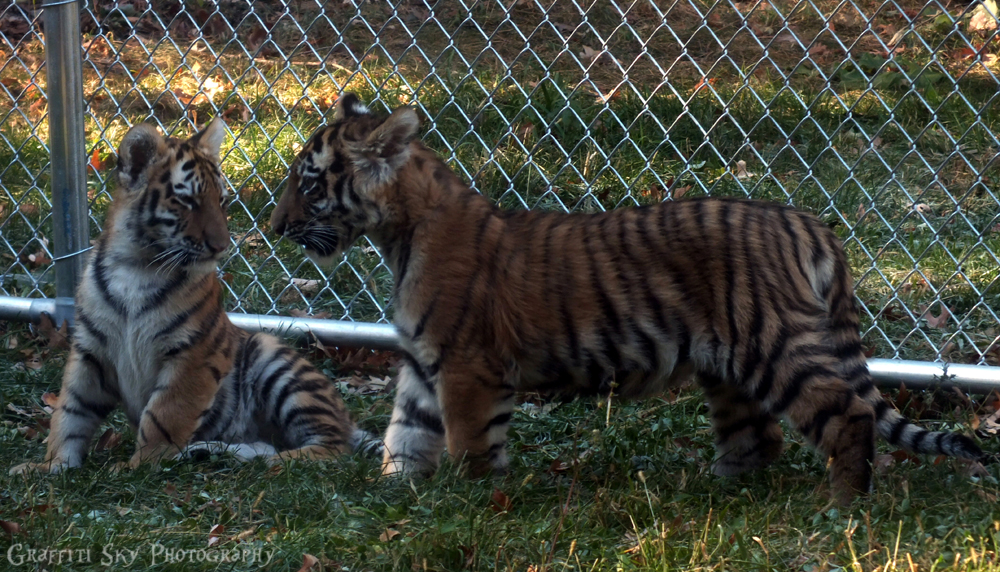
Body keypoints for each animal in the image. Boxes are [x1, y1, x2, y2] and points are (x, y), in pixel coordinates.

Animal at [10, 118, 381, 476]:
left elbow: (163, 415)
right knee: (268, 445)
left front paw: (138, 466)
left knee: (334, 447)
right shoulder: (90, 352)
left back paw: (279, 461)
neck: (136, 265)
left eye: (222, 201)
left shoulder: (193, 354)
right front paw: (51, 466)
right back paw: (216, 453)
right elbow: (69, 413)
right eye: (187, 201)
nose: (222, 246)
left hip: (276, 362)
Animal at [268, 92, 984, 503]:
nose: (273, 228)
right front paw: (397, 501)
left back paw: (843, 508)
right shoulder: (422, 364)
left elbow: (468, 444)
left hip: (776, 344)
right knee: (758, 439)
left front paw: (468, 504)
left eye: (311, 182)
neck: (399, 231)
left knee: (847, 415)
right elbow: (406, 437)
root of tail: (809, 222)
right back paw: (716, 493)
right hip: (730, 365)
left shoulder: (467, 368)